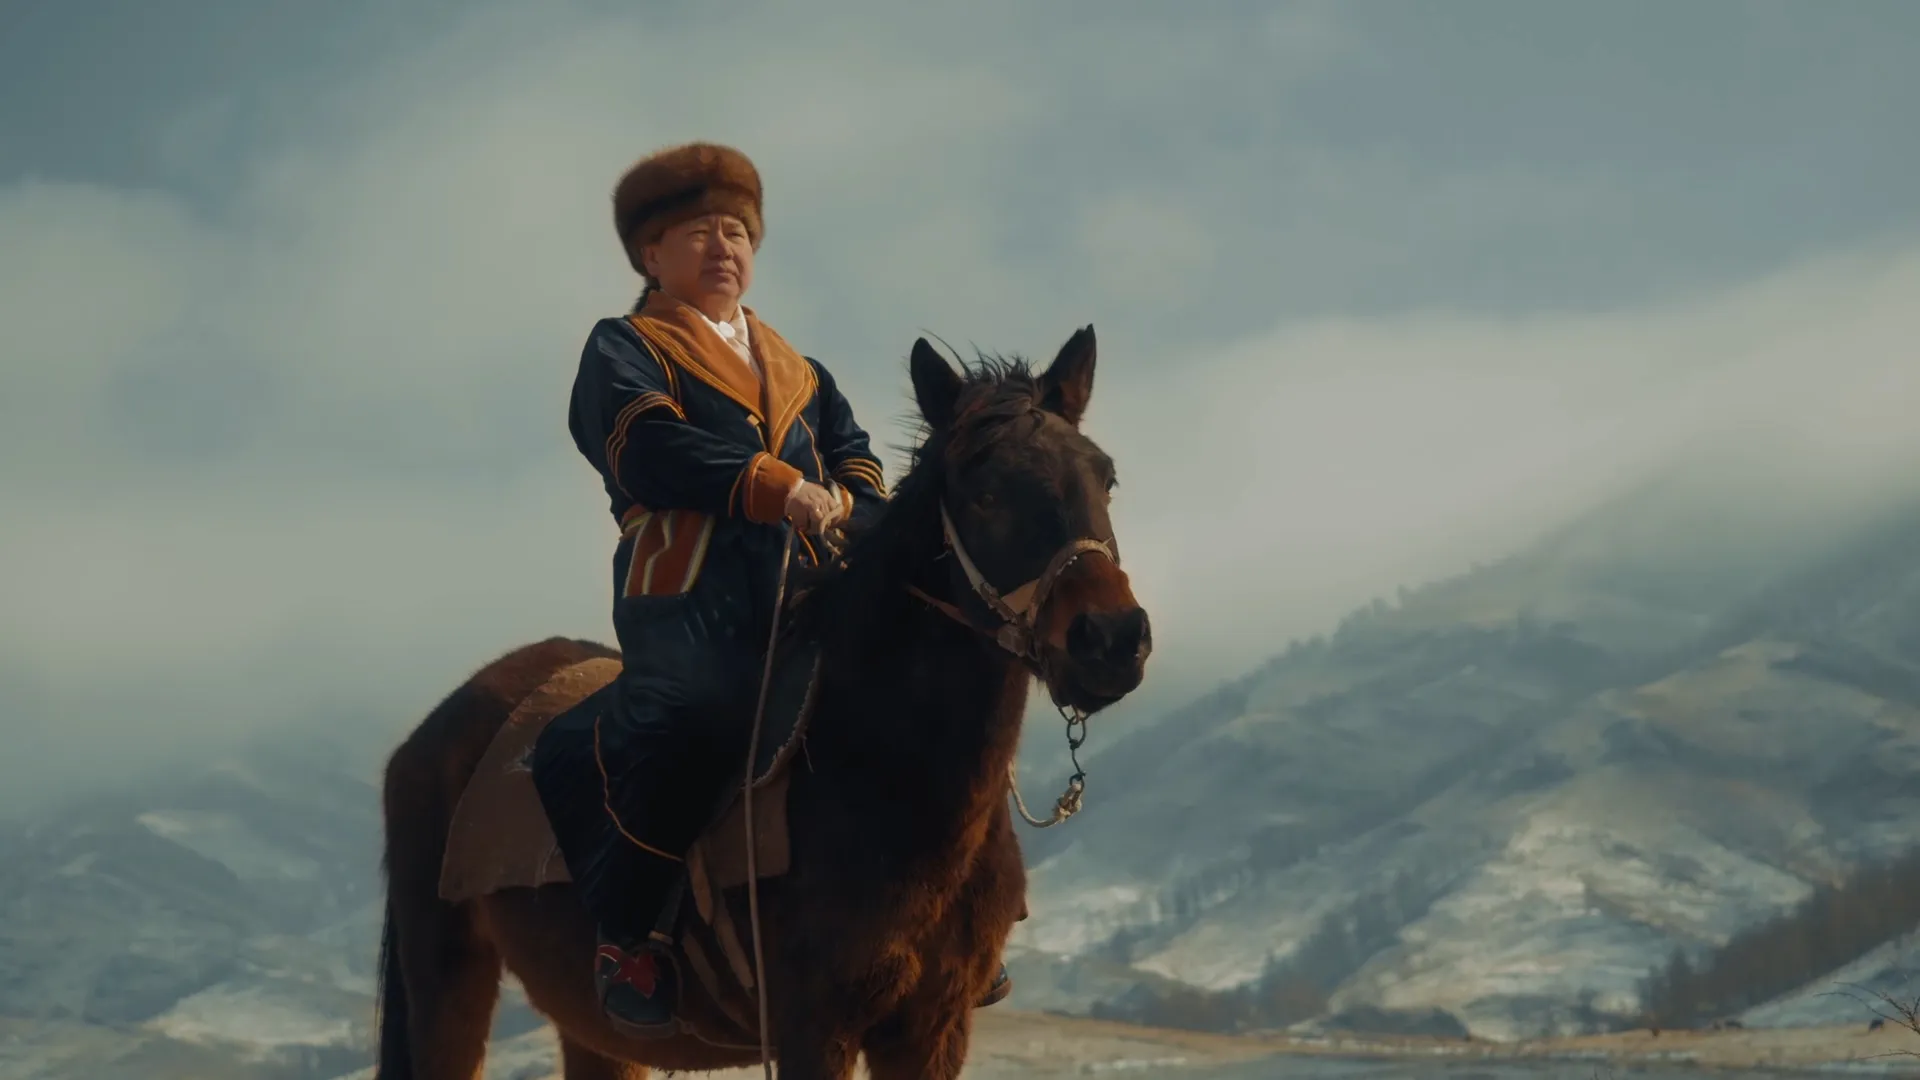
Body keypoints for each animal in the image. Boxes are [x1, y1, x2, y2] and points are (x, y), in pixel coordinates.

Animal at [372, 325, 1151, 1079]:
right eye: (984, 493)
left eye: (1105, 477)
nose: (1112, 639)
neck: (877, 772)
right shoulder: (815, 1030)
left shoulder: (932, 1031)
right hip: (447, 985)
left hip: (595, 1033)